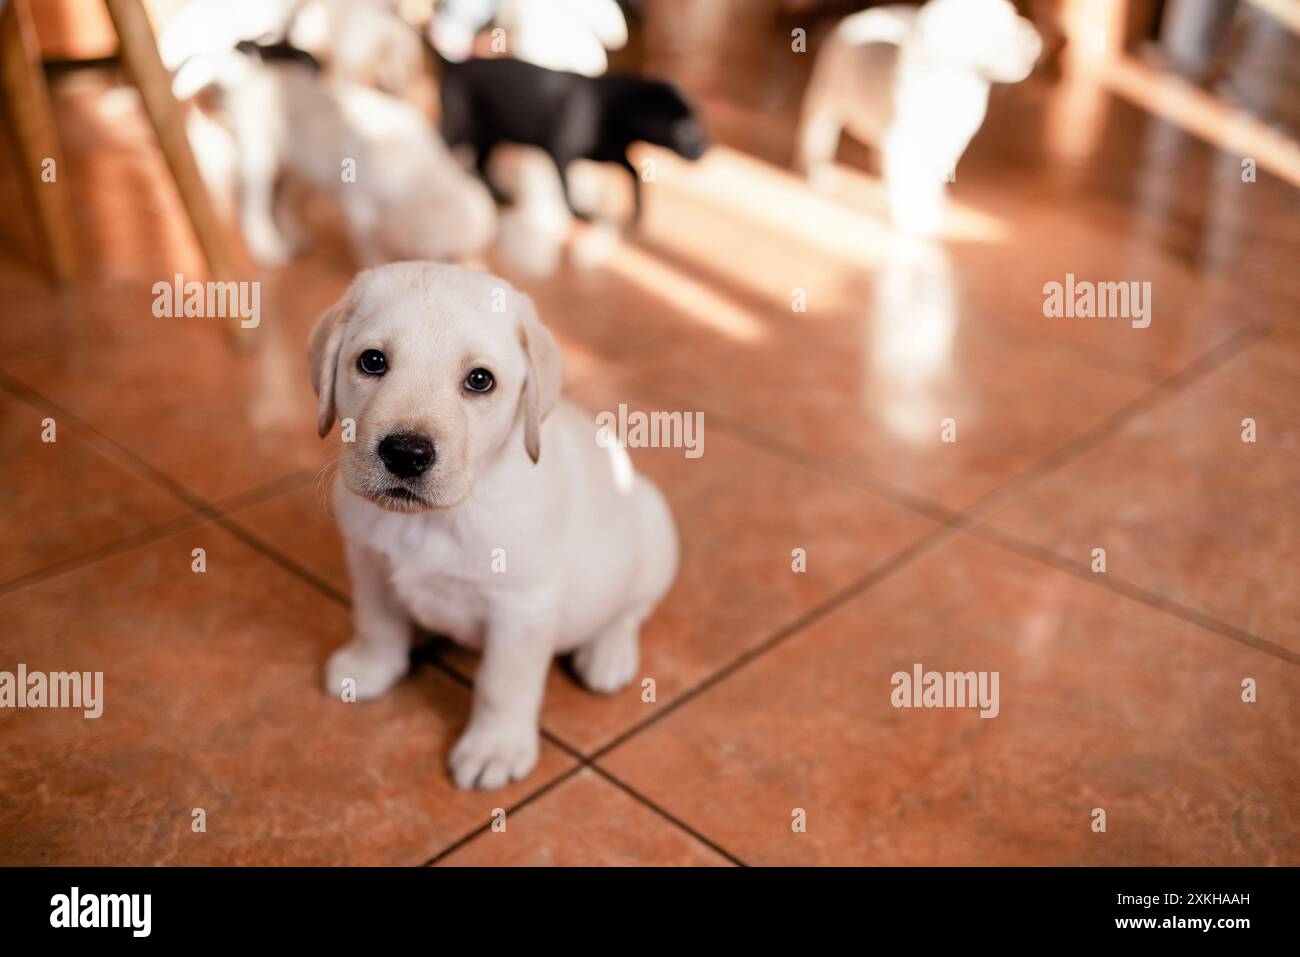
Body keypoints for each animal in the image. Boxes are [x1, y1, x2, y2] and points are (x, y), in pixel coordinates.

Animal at [312, 260, 681, 785]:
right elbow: (377, 622)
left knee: (632, 609)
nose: (405, 454)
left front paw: (495, 749)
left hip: (654, 530)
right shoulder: (368, 561)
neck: (441, 518)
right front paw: (369, 667)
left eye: (480, 380)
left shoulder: (521, 607)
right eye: (373, 361)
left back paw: (608, 655)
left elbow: (502, 683)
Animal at [441, 56, 712, 221]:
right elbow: (567, 186)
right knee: (446, 146)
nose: (706, 149)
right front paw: (577, 211)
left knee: (481, 163)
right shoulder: (562, 151)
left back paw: (496, 190)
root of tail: (454, 64)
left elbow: (634, 172)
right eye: (684, 129)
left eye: (699, 122)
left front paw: (638, 210)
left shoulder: (606, 155)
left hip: (491, 135)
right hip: (461, 128)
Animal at [795, 0, 1040, 231]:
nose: (1033, 40)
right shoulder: (902, 142)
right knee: (818, 135)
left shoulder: (951, 144)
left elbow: (930, 180)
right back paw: (815, 170)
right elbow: (907, 180)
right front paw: (908, 216)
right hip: (826, 99)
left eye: (1013, 15)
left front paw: (930, 204)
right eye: (986, 28)